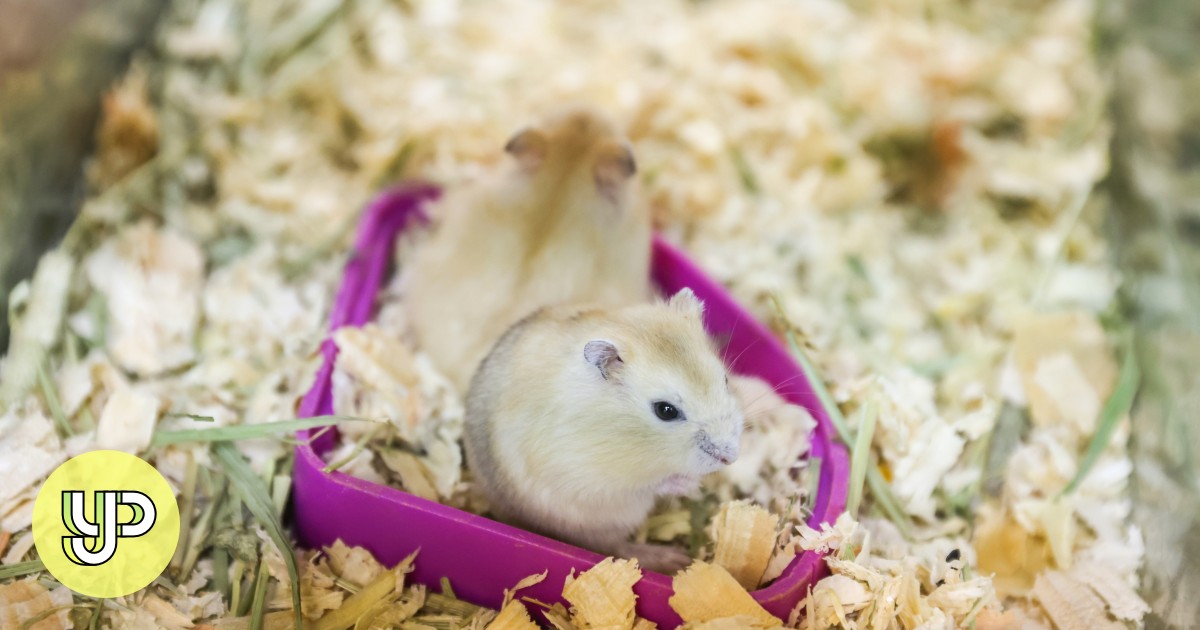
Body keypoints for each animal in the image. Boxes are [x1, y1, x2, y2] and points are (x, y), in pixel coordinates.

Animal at [463, 288, 744, 573]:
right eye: (665, 410)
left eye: (725, 379)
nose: (731, 458)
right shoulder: (594, 480)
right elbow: (655, 484)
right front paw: (692, 486)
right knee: (617, 549)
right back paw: (674, 559)